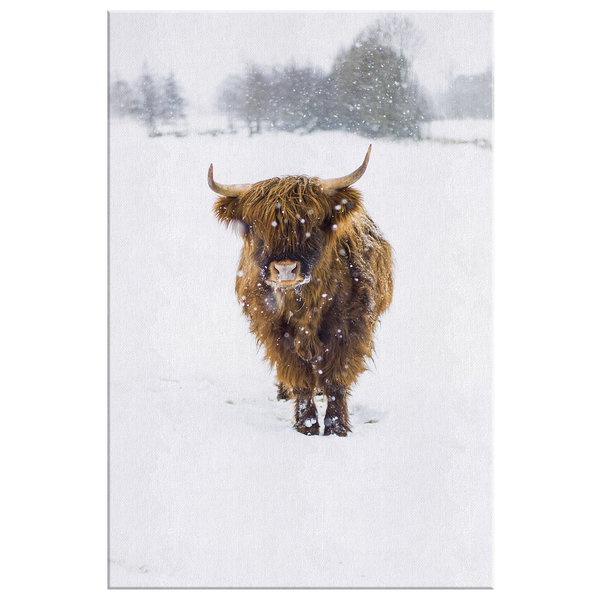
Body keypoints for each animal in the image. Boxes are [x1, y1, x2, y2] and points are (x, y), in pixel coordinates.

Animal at [210, 145, 394, 436]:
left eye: (312, 222)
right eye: (256, 226)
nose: (285, 269)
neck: (305, 303)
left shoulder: (350, 329)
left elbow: (336, 379)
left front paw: (336, 427)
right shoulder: (275, 332)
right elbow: (298, 377)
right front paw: (305, 425)